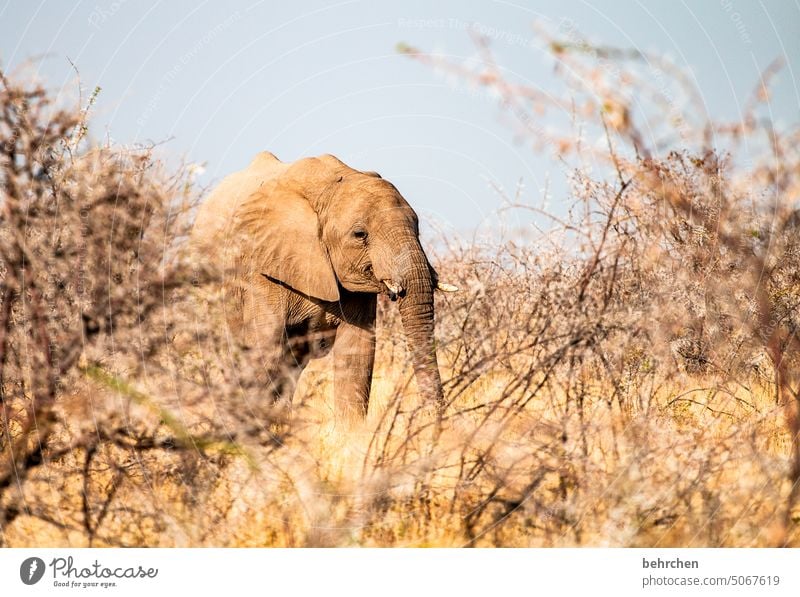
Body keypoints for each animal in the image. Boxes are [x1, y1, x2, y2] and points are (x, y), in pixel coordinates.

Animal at [191, 154, 456, 424]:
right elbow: (264, 344)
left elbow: (357, 350)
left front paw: (351, 432)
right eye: (360, 234)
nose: (433, 419)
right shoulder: (262, 267)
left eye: (417, 228)